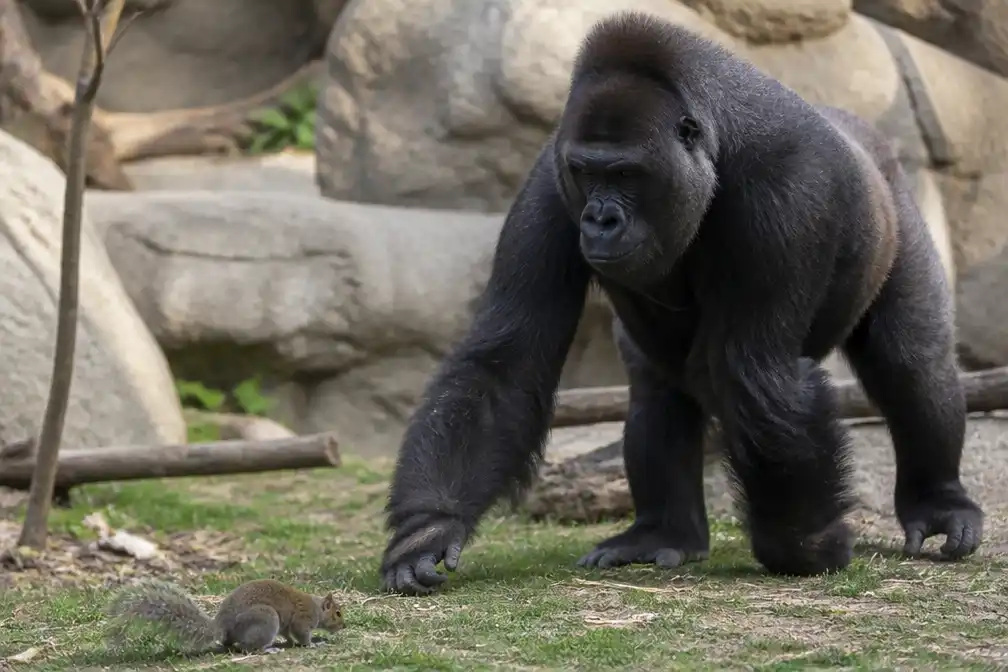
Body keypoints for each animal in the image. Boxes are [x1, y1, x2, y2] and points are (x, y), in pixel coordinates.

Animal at [377, 10, 984, 595]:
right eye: (587, 172)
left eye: (625, 173)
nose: (599, 219)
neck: (714, 143)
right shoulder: (550, 184)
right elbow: (507, 359)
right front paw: (428, 529)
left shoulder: (788, 190)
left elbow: (754, 373)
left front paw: (803, 543)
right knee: (656, 389)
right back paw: (665, 531)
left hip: (900, 209)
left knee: (910, 362)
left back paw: (938, 500)